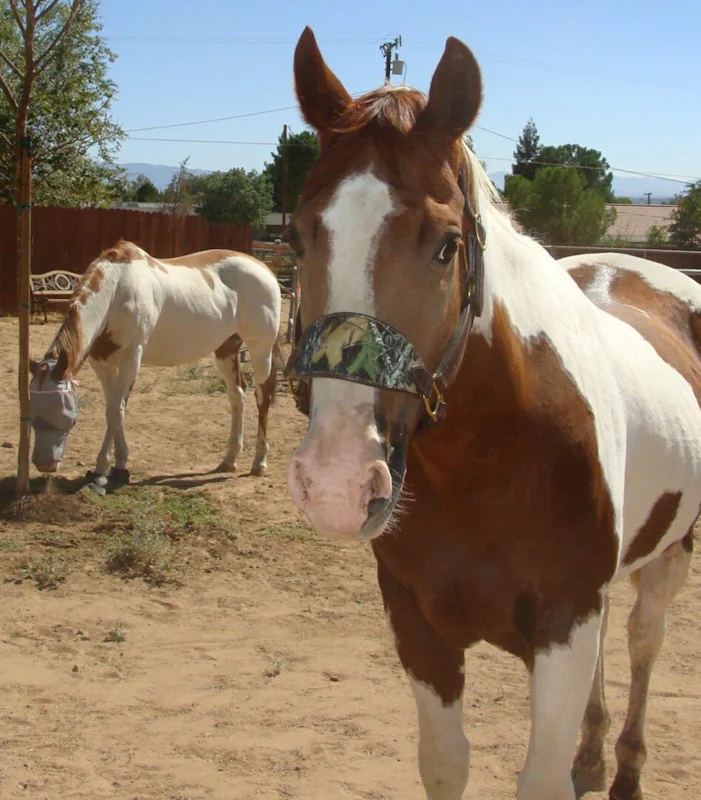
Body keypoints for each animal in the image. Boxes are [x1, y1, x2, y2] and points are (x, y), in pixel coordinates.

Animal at [29, 239, 282, 482]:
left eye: (67, 416)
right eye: (32, 412)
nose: (44, 464)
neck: (118, 289)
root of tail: (264, 269)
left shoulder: (132, 356)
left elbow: (116, 411)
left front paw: (102, 467)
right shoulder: (102, 362)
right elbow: (112, 408)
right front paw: (120, 464)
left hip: (261, 349)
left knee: (262, 397)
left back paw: (259, 462)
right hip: (226, 350)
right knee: (237, 396)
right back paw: (229, 459)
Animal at [284, 27, 701, 800]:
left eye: (447, 245)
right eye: (296, 237)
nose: (337, 484)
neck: (489, 464)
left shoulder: (566, 623)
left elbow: (539, 778)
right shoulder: (419, 626)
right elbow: (446, 762)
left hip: (671, 553)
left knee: (642, 641)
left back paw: (625, 768)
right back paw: (593, 756)